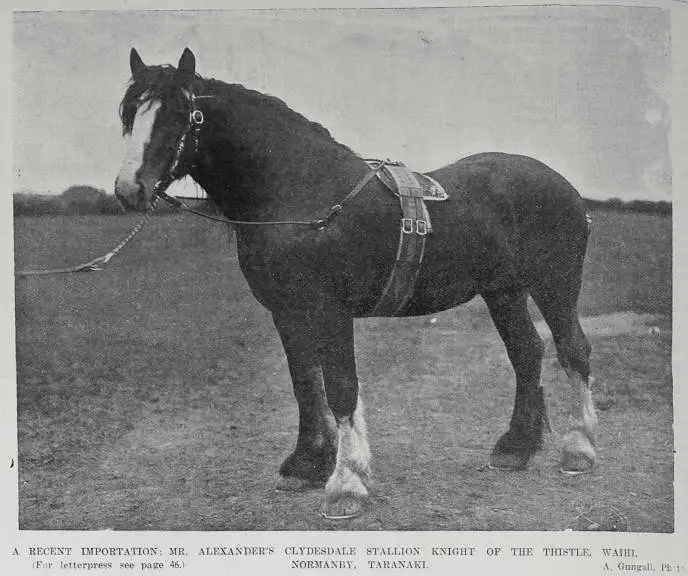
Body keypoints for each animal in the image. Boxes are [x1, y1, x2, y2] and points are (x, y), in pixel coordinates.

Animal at [113, 47, 596, 520]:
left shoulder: (330, 310)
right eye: (130, 113)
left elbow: (341, 387)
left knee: (572, 349)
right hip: (504, 292)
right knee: (527, 352)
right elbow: (306, 384)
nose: (129, 190)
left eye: (180, 114)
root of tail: (566, 188)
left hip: (555, 285)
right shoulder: (287, 312)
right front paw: (306, 465)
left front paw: (346, 485)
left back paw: (579, 451)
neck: (303, 193)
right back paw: (515, 449)